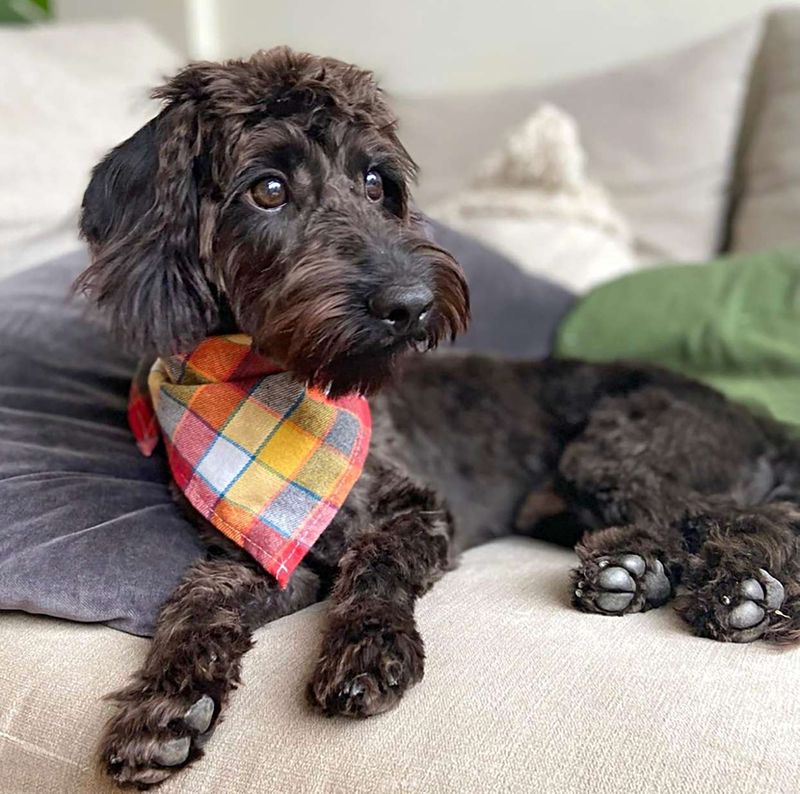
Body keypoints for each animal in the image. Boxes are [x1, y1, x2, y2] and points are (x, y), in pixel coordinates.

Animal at [76, 49, 800, 784]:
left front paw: (370, 648)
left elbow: (376, 564)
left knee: (760, 516)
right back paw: (629, 571)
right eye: (269, 190)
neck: (275, 397)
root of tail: (753, 416)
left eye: (375, 183)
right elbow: (195, 597)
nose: (412, 303)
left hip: (612, 452)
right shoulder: (262, 558)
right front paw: (165, 704)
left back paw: (739, 589)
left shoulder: (418, 507)